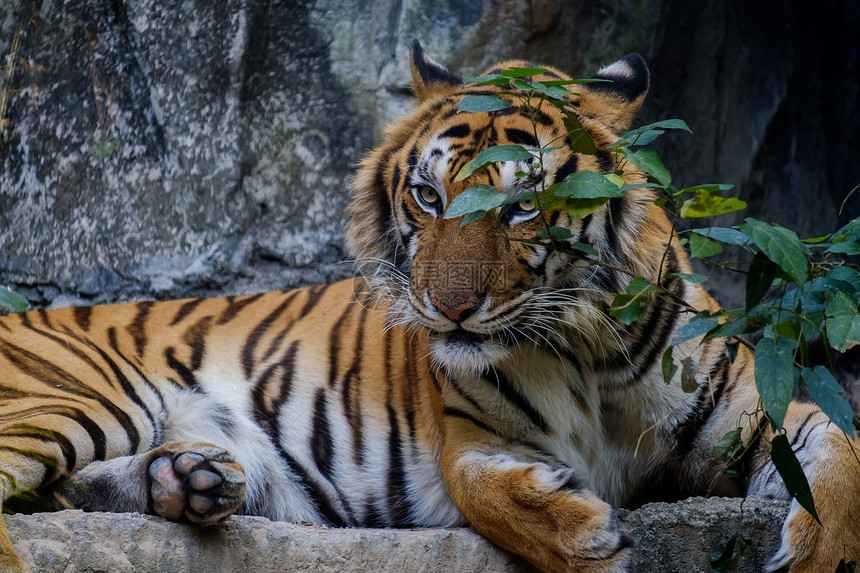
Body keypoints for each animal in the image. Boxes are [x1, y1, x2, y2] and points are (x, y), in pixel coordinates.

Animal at [0, 40, 856, 572]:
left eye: (521, 206)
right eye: (427, 196)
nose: (449, 309)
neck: (588, 349)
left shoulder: (755, 414)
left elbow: (841, 456)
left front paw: (822, 551)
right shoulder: (472, 439)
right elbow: (495, 495)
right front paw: (588, 535)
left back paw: (188, 480)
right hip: (80, 396)